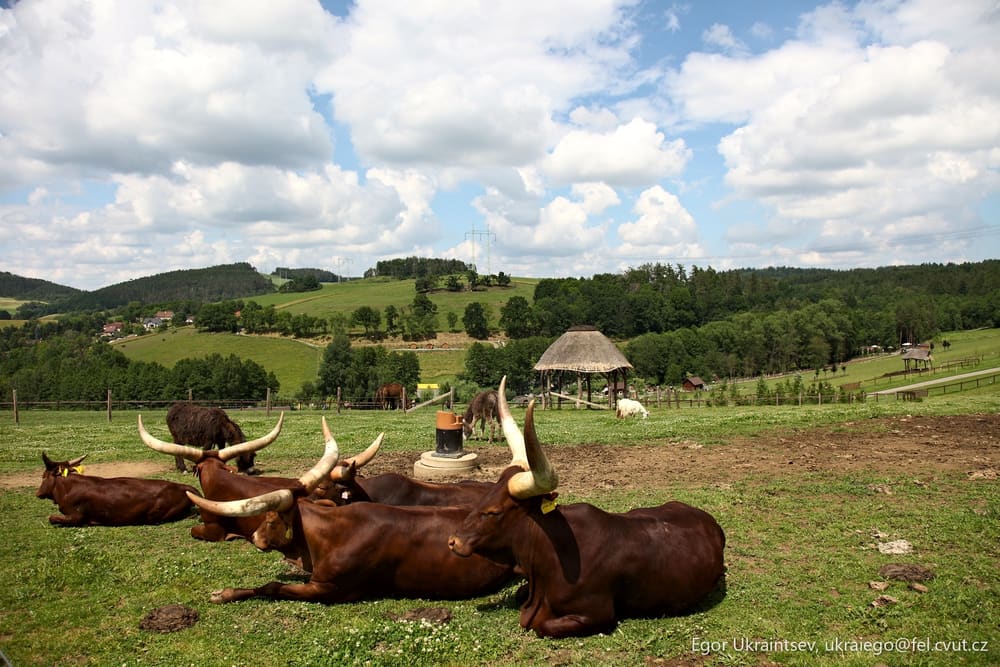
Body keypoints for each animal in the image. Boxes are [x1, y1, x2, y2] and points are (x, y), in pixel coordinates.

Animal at [36, 452, 198, 527]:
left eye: (43, 476)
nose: (38, 493)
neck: (68, 488)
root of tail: (182, 486)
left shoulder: (76, 516)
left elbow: (52, 518)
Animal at [448, 377, 726, 638]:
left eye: (494, 512)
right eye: (484, 497)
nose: (453, 541)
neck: (550, 554)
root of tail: (707, 519)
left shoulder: (597, 616)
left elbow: (541, 625)